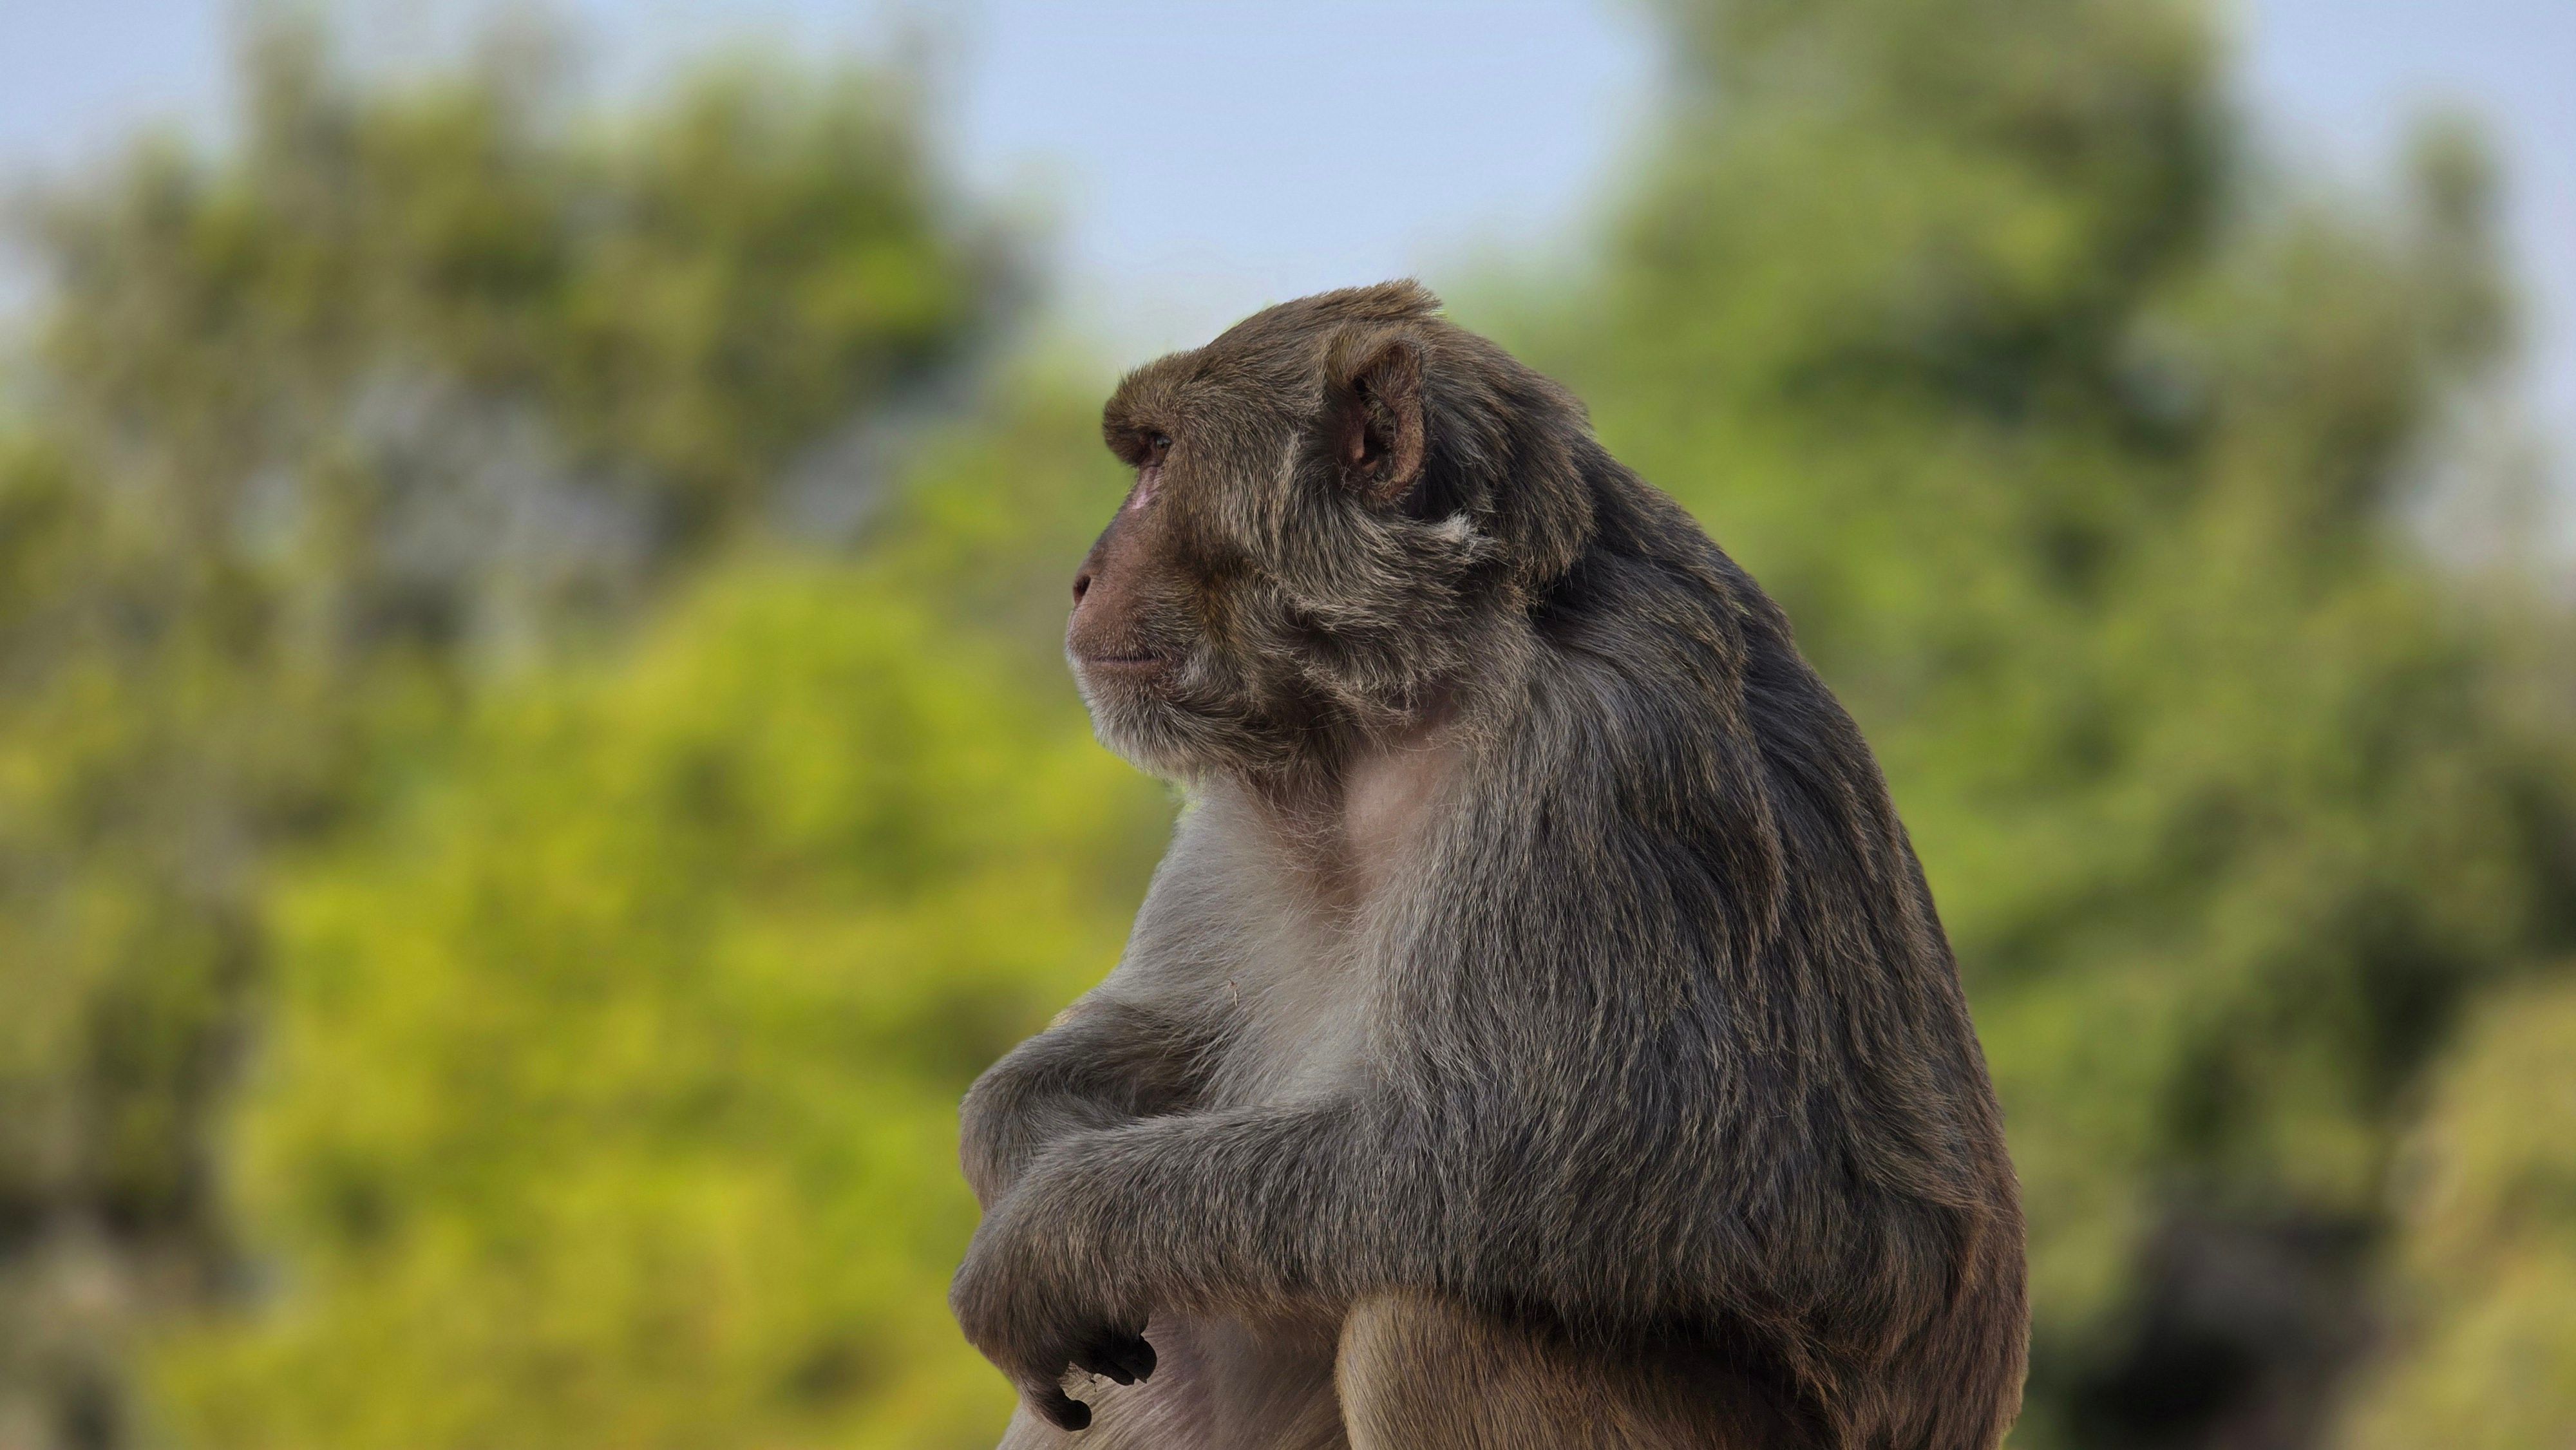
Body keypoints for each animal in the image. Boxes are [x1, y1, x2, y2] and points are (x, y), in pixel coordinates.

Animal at [950, 281, 2027, 1450]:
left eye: (1157, 461)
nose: (1081, 578)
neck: (1384, 710)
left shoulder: (1601, 770)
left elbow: (1552, 1156)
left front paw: (1053, 1230)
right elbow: (1157, 1033)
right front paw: (1018, 1131)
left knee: (1427, 1316)